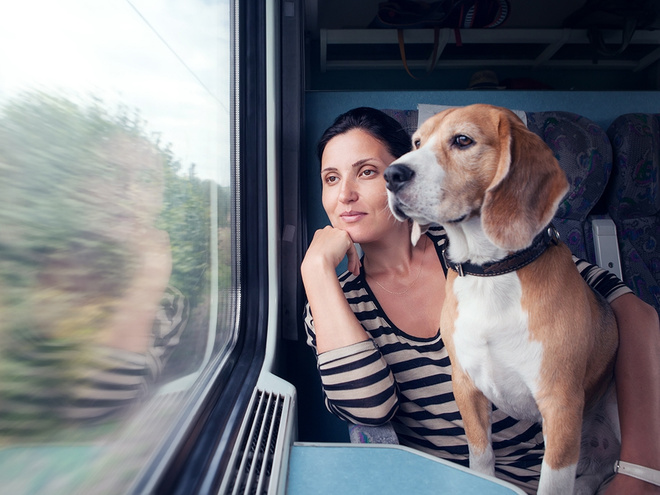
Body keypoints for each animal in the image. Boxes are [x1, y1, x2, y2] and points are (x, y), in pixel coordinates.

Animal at [384, 104, 620, 495]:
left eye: (463, 140)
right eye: (416, 142)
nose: (391, 174)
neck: (490, 272)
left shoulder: (560, 406)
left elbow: (553, 483)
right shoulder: (466, 386)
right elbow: (480, 459)